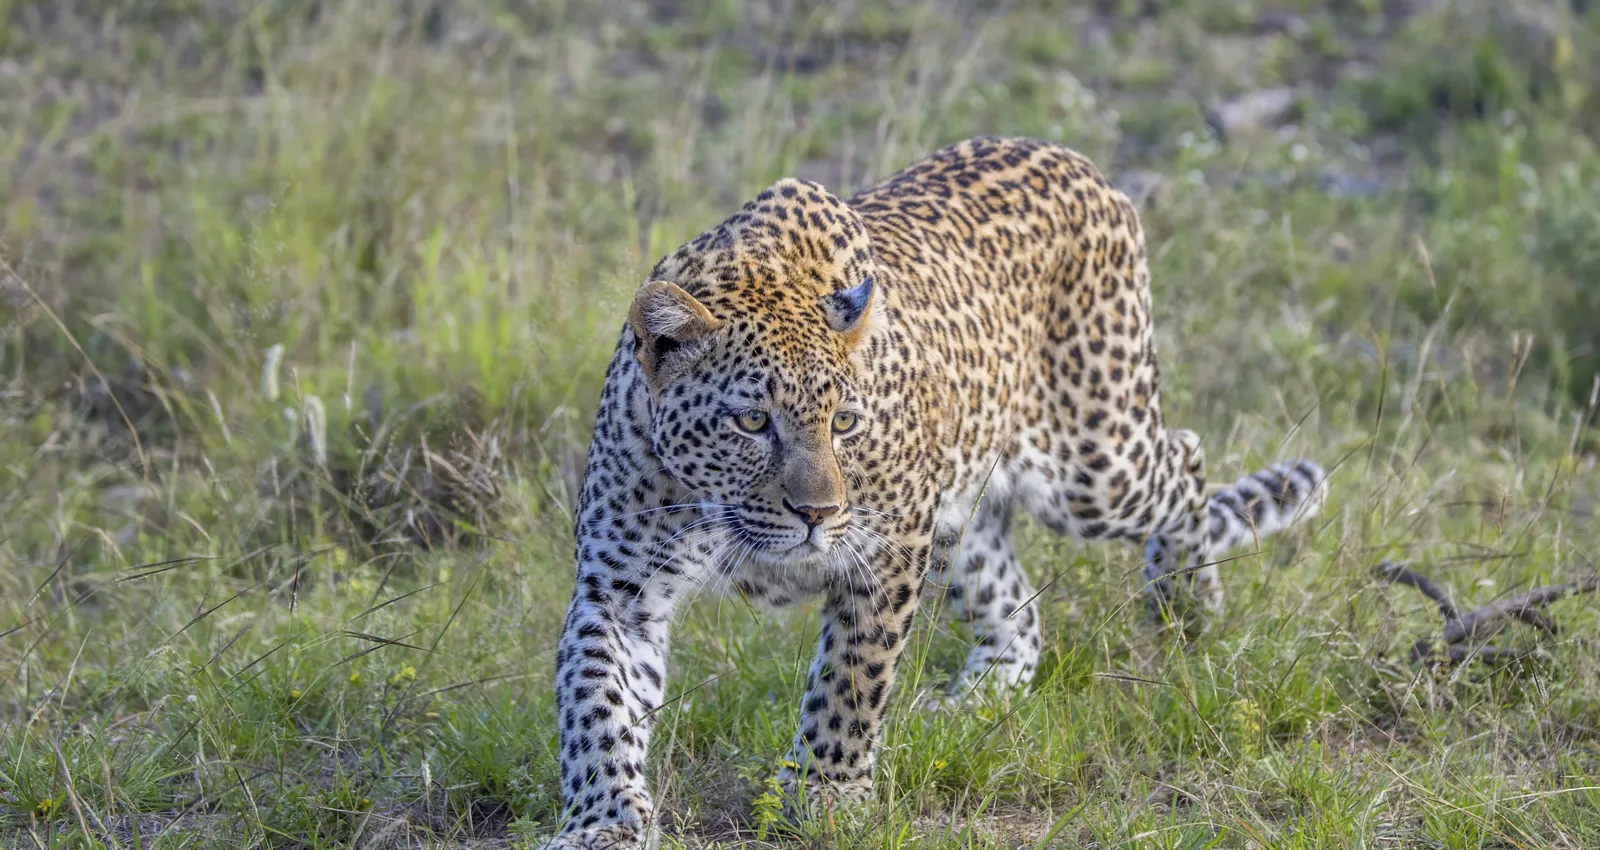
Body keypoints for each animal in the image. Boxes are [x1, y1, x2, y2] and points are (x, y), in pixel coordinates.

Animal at [545, 136, 1327, 848]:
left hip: (1095, 465)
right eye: (751, 421)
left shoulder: (885, 550)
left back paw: (1186, 603)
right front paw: (603, 822)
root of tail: (1074, 158)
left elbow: (851, 680)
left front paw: (825, 796)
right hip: (964, 516)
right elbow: (596, 705)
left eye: (844, 421)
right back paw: (969, 704)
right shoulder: (619, 590)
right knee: (1018, 614)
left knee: (1186, 456)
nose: (817, 514)